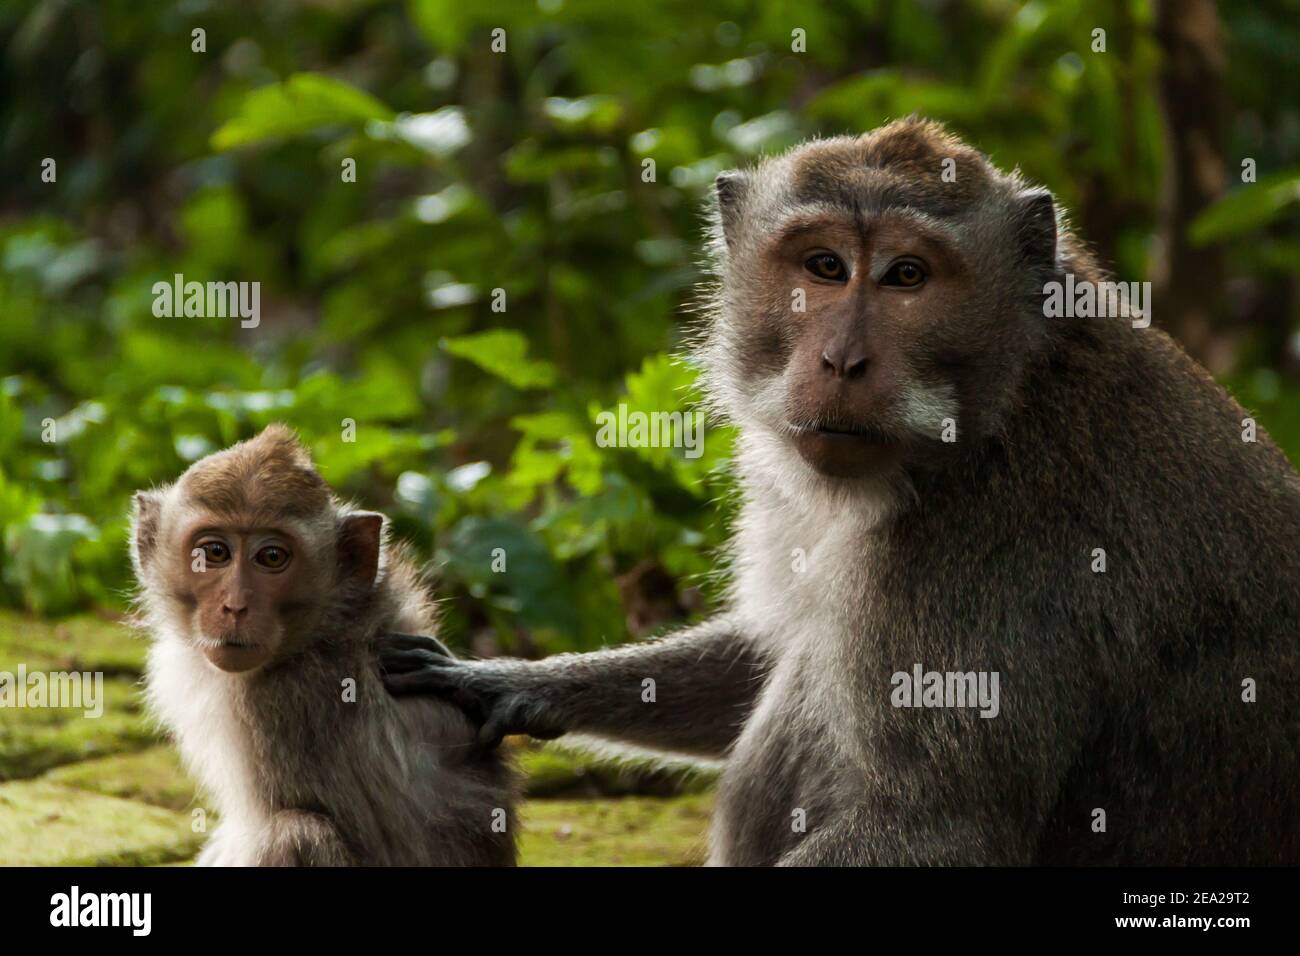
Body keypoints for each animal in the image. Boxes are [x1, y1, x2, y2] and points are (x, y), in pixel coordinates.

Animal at [131, 425, 516, 866]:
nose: (236, 606)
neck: (324, 632)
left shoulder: (279, 709)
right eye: (214, 552)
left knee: (292, 832)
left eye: (272, 557)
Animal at [381, 117, 1300, 866]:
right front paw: (510, 681)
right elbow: (763, 649)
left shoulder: (996, 555)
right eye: (823, 266)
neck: (1001, 406)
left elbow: (938, 828)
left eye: (906, 276)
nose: (842, 361)